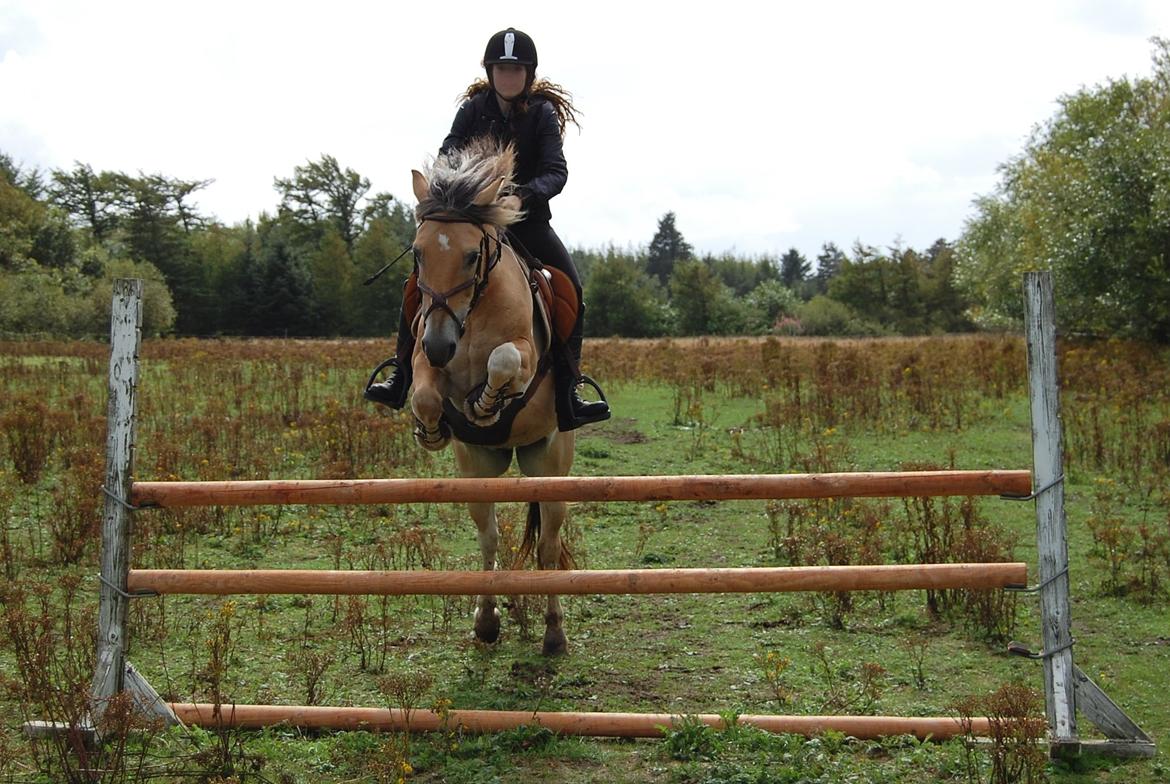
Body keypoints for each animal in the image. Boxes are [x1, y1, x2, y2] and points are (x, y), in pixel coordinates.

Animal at [407, 139, 575, 655]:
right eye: (418, 254)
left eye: (469, 255)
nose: (442, 345)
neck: (473, 312)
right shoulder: (424, 353)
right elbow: (424, 393)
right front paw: (433, 429)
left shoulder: (522, 352)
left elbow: (504, 361)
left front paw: (486, 403)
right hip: (478, 472)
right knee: (490, 538)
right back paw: (486, 622)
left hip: (550, 465)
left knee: (548, 548)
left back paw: (554, 632)